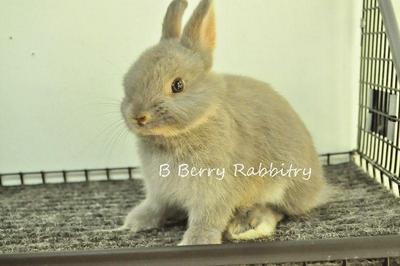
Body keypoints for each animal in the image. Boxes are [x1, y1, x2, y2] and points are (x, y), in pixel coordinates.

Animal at [119, 0, 324, 245]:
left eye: (178, 85)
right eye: (128, 79)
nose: (138, 116)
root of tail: (318, 187)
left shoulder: (215, 188)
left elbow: (208, 216)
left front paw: (197, 241)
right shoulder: (160, 190)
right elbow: (157, 206)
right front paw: (135, 222)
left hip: (286, 185)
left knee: (279, 209)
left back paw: (247, 225)